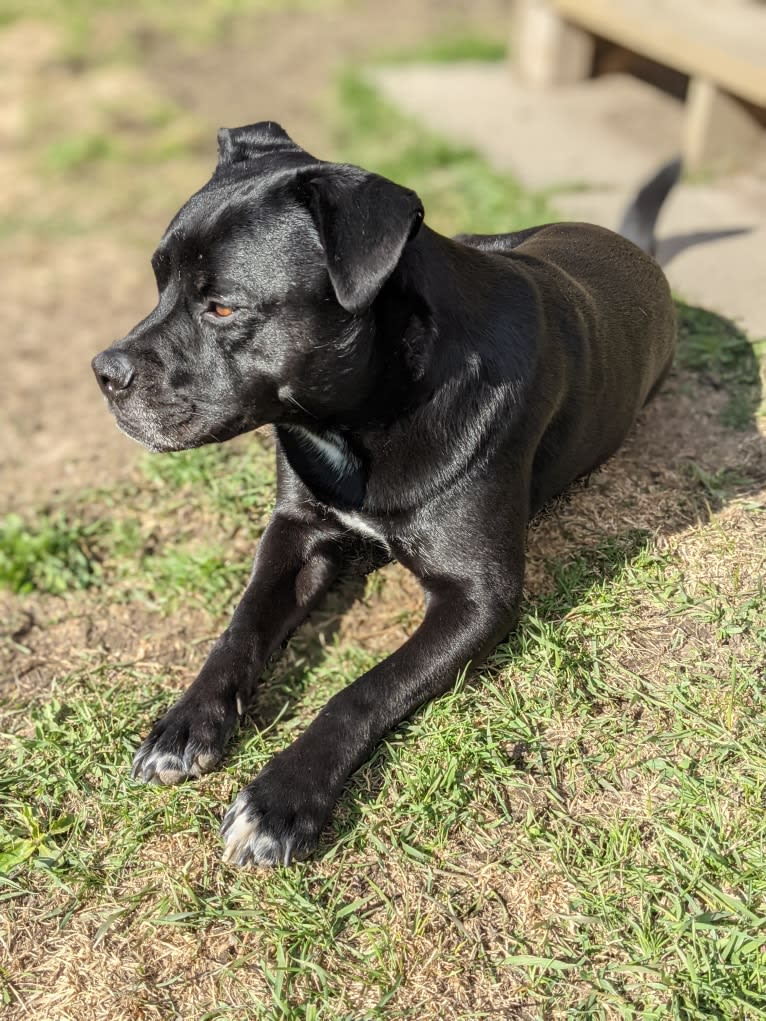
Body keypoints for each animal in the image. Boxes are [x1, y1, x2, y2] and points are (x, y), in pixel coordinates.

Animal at [94, 123, 678, 865]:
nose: (102, 372)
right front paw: (185, 722)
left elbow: (364, 689)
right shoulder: (296, 531)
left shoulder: (478, 598)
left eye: (222, 305)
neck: (369, 413)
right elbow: (242, 625)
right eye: (158, 281)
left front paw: (281, 799)